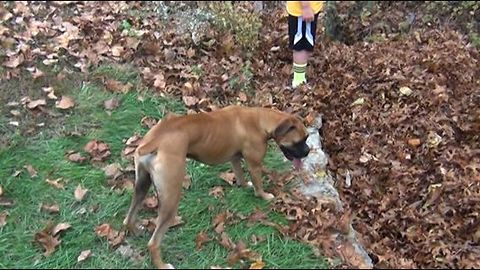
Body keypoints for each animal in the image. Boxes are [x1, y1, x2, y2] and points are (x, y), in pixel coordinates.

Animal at [124, 105, 310, 268]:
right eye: (300, 141)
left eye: (307, 137)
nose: (308, 151)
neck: (260, 119)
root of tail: (155, 139)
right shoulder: (254, 165)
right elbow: (258, 185)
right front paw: (264, 196)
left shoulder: (235, 159)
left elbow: (241, 176)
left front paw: (244, 185)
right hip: (171, 199)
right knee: (153, 243)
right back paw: (162, 265)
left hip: (142, 185)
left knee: (129, 215)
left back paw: (134, 230)